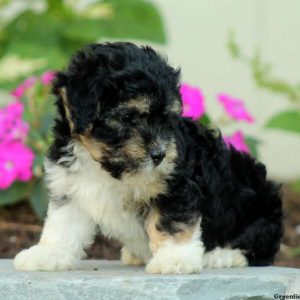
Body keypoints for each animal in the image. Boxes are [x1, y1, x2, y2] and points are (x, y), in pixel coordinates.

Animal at [14, 42, 284, 274]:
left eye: (166, 118)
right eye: (127, 117)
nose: (159, 155)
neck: (108, 169)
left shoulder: (174, 186)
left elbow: (171, 222)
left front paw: (174, 259)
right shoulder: (71, 187)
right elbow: (63, 226)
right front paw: (47, 254)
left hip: (257, 213)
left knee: (257, 249)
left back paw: (220, 256)